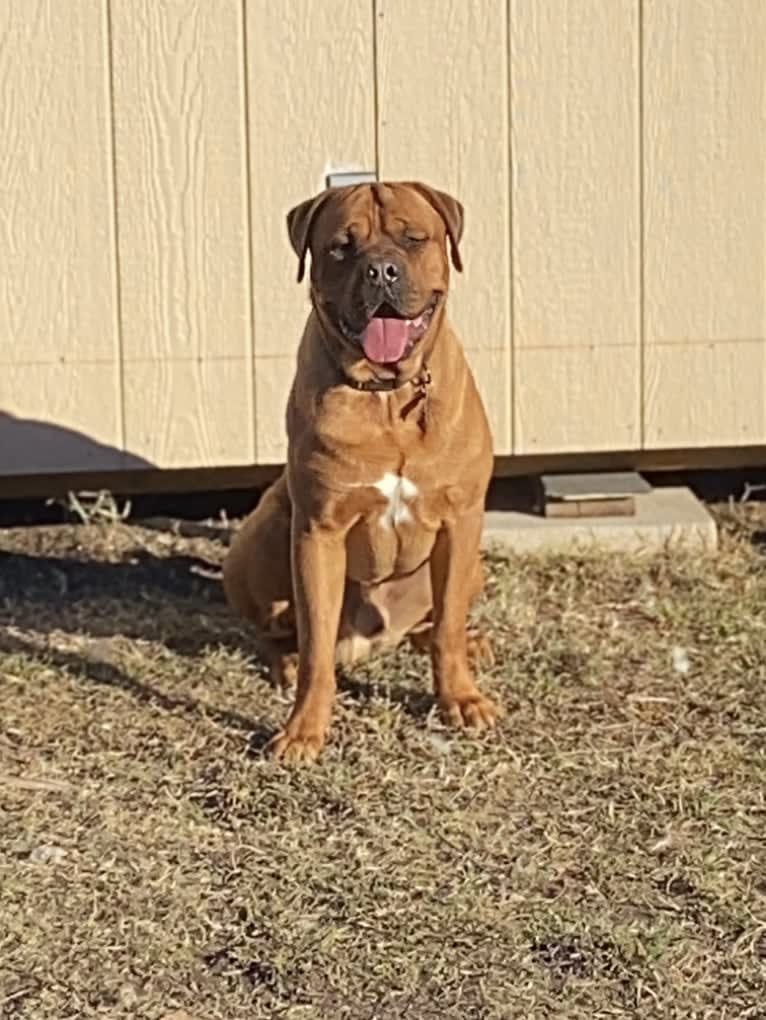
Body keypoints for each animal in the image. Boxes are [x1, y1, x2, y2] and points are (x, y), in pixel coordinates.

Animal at [223, 181, 497, 758]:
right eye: (340, 248)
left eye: (413, 239)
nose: (381, 270)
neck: (386, 394)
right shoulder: (318, 529)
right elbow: (316, 647)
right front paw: (303, 730)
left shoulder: (462, 519)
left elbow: (448, 627)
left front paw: (461, 699)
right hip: (262, 534)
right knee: (275, 630)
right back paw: (283, 661)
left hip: (475, 562)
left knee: (436, 621)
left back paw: (465, 640)